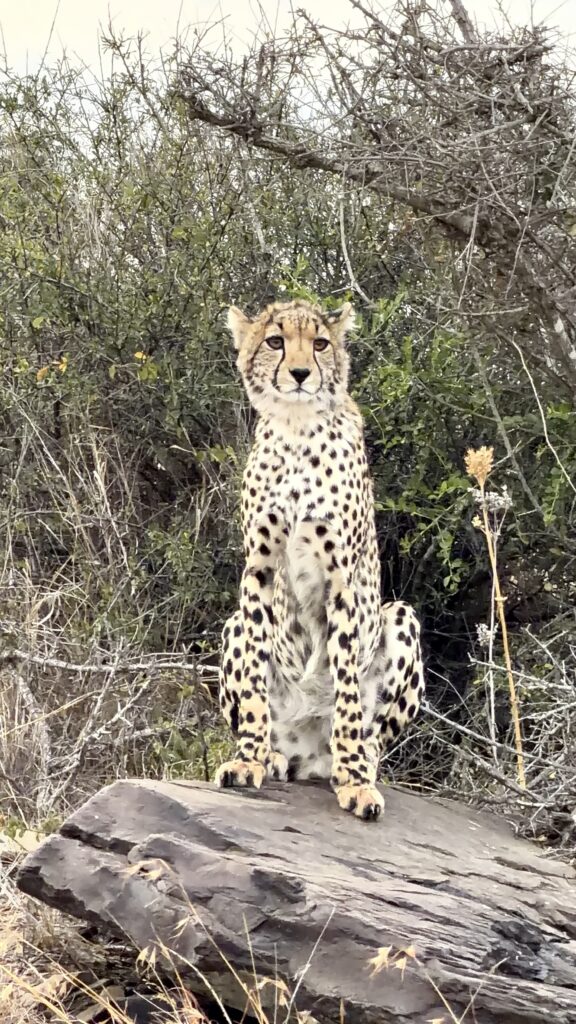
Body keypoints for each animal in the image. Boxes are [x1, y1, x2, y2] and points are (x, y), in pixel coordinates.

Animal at [215, 298, 424, 821]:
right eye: (275, 341)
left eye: (321, 343)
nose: (300, 372)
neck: (295, 427)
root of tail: (306, 754)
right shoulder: (259, 568)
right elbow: (254, 678)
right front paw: (248, 757)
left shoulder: (342, 580)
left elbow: (347, 689)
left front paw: (354, 780)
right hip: (231, 624)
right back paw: (272, 754)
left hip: (402, 616)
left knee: (373, 735)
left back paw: (355, 762)